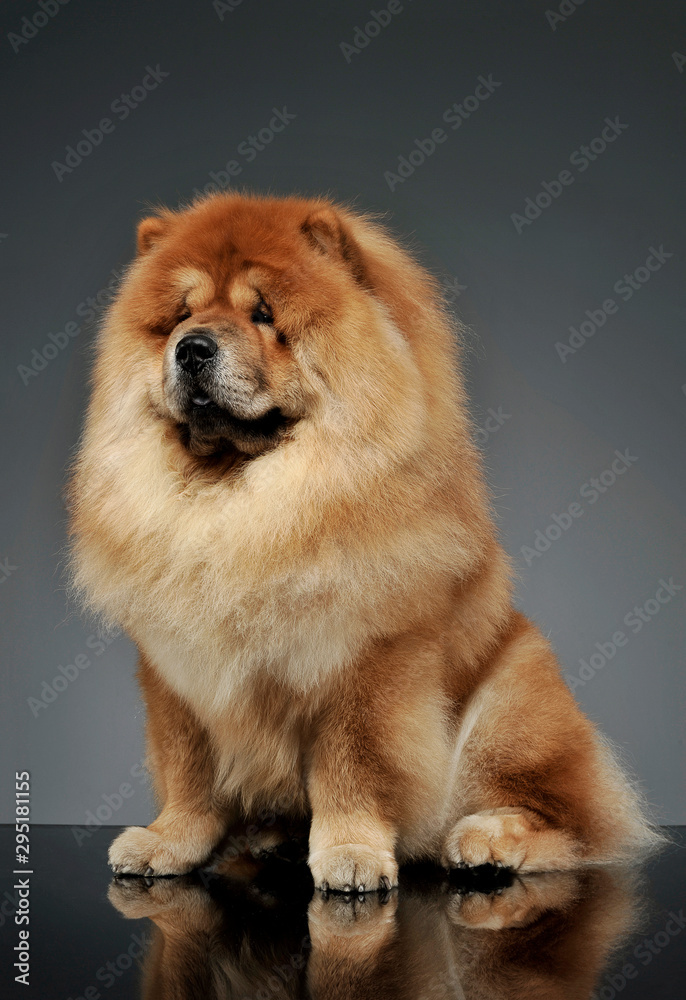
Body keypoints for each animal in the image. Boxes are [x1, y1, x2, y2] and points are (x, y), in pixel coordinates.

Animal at [67, 195, 660, 892]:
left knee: (564, 818)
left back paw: (485, 840)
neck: (238, 504)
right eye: (180, 317)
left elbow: (352, 767)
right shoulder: (176, 668)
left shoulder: (367, 661)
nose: (191, 349)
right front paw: (168, 843)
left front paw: (350, 854)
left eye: (263, 314)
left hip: (515, 698)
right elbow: (189, 770)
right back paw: (275, 838)